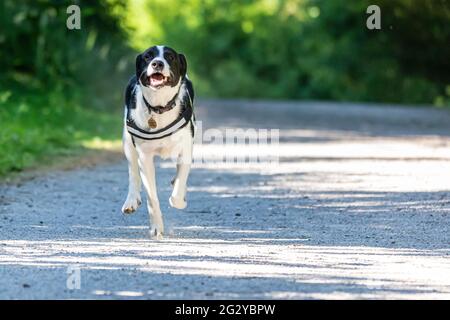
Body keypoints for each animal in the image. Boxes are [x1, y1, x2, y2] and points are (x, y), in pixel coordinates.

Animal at [121, 46, 195, 239]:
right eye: (148, 56)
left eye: (170, 56)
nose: (157, 63)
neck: (159, 108)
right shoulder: (145, 158)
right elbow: (151, 197)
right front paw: (156, 227)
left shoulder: (186, 150)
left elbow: (179, 185)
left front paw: (179, 200)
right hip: (127, 142)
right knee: (133, 172)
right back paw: (131, 200)